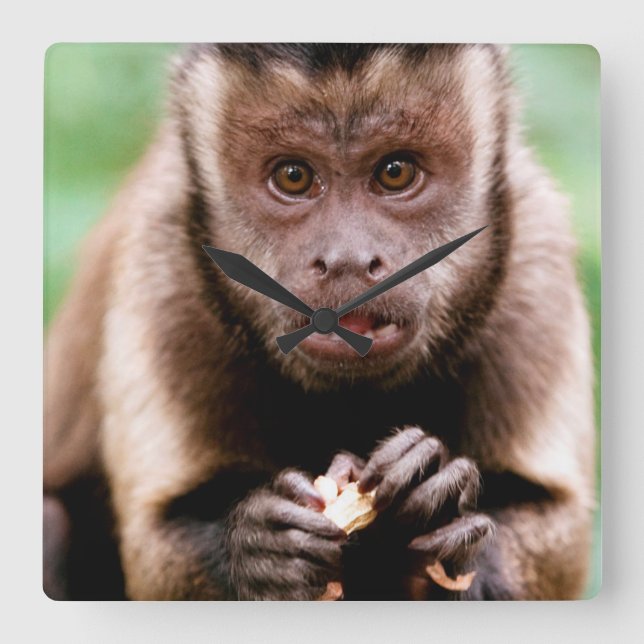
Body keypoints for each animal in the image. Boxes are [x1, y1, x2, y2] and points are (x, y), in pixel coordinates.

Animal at [44, 44, 595, 600]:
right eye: (294, 176)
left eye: (395, 172)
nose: (347, 259)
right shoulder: (163, 255)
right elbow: (155, 547)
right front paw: (259, 553)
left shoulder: (533, 250)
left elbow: (558, 527)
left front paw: (442, 510)